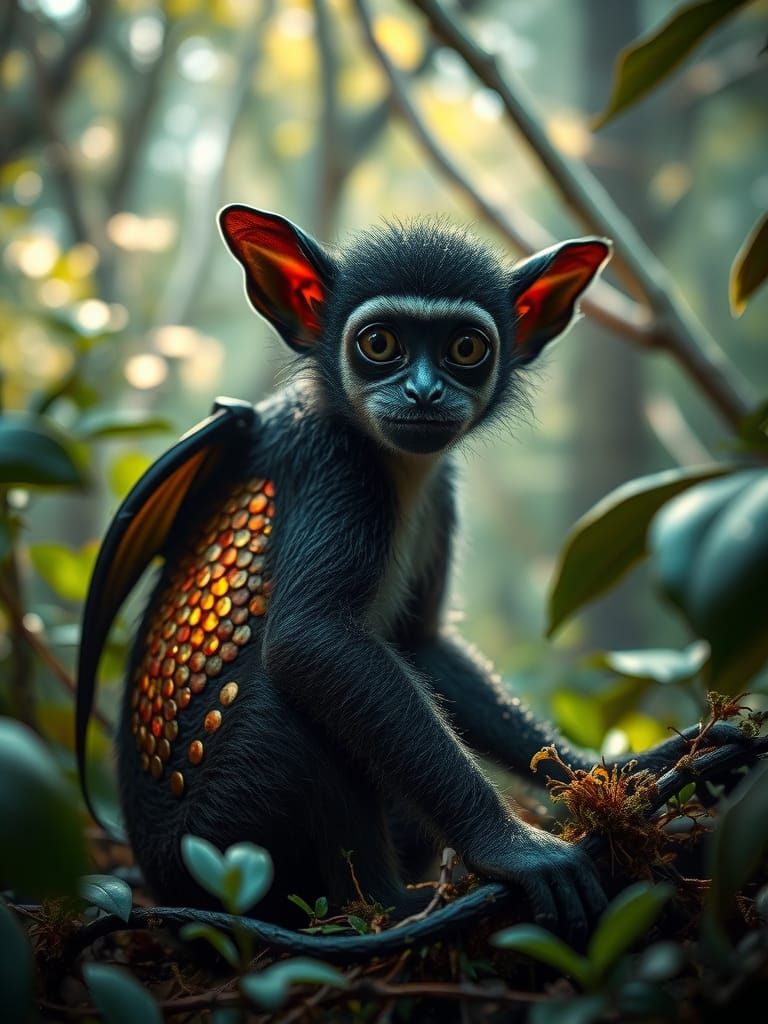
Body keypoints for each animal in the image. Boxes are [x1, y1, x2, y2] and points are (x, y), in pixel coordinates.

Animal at [76, 206, 748, 945]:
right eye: (379, 343)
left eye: (465, 349)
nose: (423, 391)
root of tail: (156, 871)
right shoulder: (337, 468)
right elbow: (313, 641)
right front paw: (511, 848)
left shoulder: (441, 493)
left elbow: (421, 644)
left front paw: (627, 772)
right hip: (219, 836)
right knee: (287, 709)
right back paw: (387, 918)